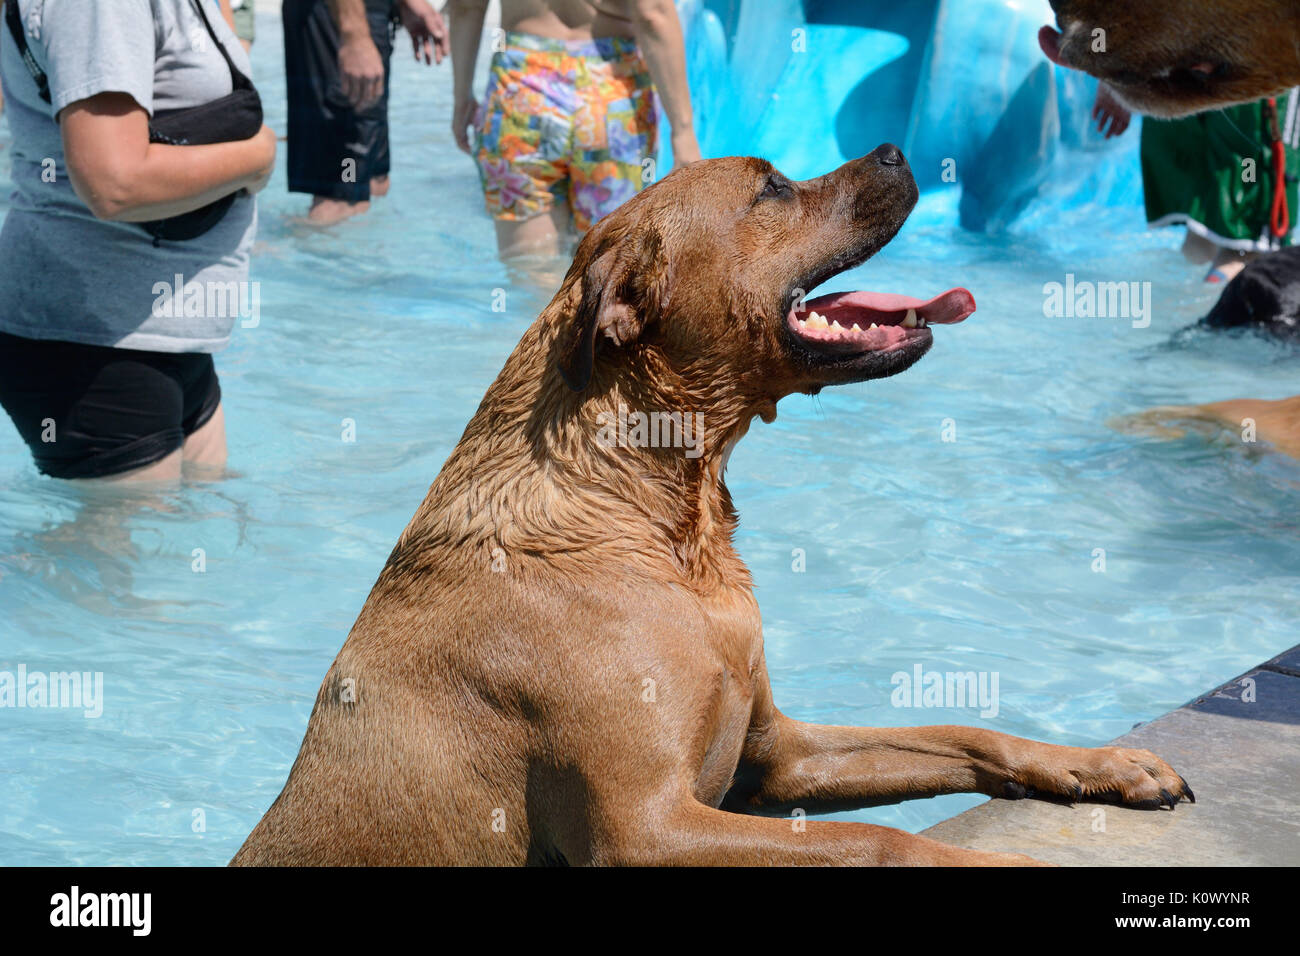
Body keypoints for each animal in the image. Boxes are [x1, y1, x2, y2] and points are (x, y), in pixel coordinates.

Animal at [231, 147, 1190, 868]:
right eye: (770, 187)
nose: (896, 149)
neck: (665, 528)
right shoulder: (649, 828)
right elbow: (884, 843)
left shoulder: (776, 756)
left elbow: (962, 730)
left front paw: (1100, 763)